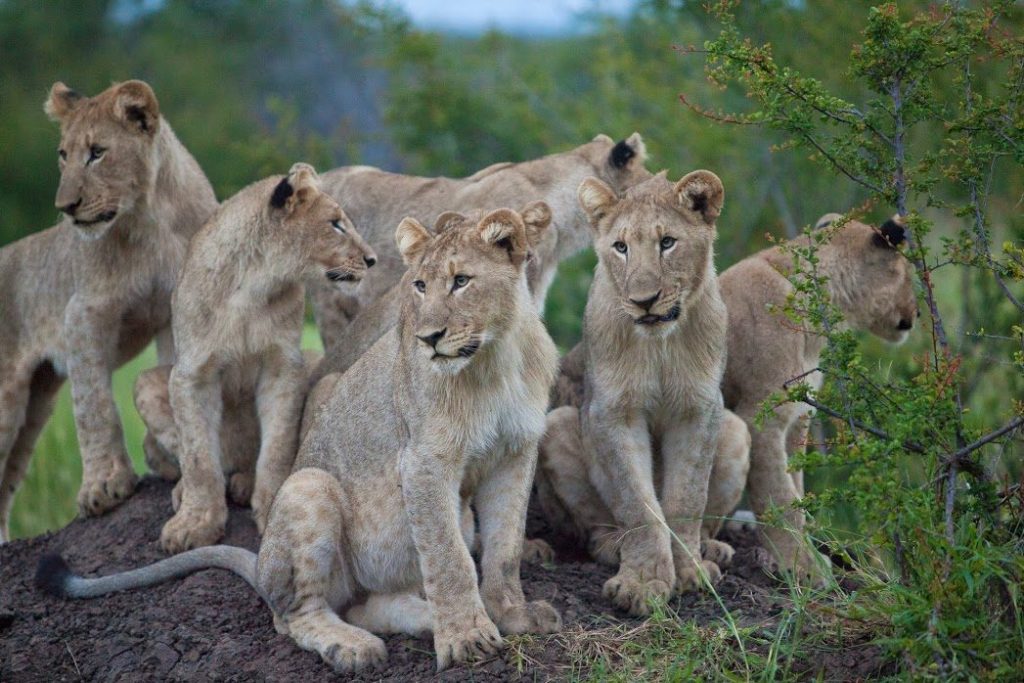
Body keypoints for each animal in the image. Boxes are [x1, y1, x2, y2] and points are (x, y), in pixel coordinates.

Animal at [0, 80, 217, 539]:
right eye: (63, 155)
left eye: (97, 152)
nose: (65, 207)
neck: (148, 219)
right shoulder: (83, 314)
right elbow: (94, 405)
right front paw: (104, 486)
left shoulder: (178, 305)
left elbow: (170, 375)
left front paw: (164, 457)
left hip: (35, 404)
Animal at [39, 203, 561, 674]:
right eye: (419, 286)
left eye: (461, 281)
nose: (429, 339)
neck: (496, 359)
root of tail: (261, 563)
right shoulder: (423, 461)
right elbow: (449, 557)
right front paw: (466, 639)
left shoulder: (515, 455)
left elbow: (504, 549)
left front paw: (513, 616)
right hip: (310, 487)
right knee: (295, 615)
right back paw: (353, 648)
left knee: (366, 606)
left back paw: (418, 619)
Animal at [130, 163, 376, 554]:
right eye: (336, 224)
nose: (371, 259)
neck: (254, 286)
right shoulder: (191, 374)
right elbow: (198, 457)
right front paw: (195, 523)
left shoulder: (284, 365)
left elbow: (277, 445)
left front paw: (274, 505)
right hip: (148, 381)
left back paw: (246, 483)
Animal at [529, 170, 733, 617]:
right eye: (620, 247)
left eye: (667, 242)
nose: (644, 301)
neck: (659, 343)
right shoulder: (612, 412)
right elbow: (637, 503)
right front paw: (641, 583)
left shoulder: (700, 409)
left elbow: (686, 498)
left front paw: (690, 571)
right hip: (559, 423)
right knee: (596, 526)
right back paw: (612, 546)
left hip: (737, 428)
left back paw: (713, 549)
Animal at [716, 213, 917, 577]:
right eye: (908, 275)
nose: (917, 313)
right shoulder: (761, 417)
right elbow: (779, 495)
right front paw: (804, 567)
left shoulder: (798, 416)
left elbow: (796, 487)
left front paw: (810, 550)